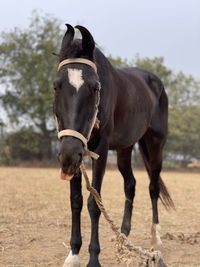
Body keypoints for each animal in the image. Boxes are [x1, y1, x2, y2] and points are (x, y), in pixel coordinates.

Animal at [53, 24, 173, 266]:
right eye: (56, 86)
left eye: (95, 87)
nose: (67, 155)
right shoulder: (78, 154)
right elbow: (76, 201)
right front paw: (73, 255)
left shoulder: (99, 151)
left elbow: (94, 204)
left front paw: (93, 259)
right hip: (124, 149)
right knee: (131, 184)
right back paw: (123, 237)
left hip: (155, 145)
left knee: (153, 187)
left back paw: (156, 242)